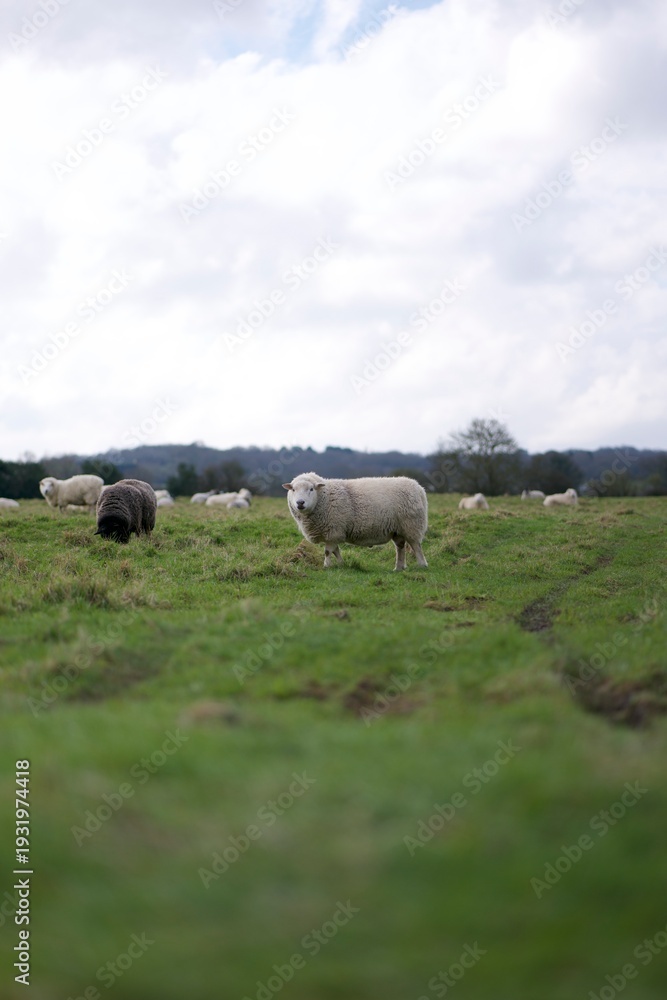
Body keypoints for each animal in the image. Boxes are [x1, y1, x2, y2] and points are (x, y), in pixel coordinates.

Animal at [283, 472, 428, 571]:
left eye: (311, 489)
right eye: (293, 489)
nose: (300, 503)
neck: (324, 498)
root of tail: (419, 488)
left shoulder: (333, 530)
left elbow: (328, 552)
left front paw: (326, 566)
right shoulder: (334, 533)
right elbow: (336, 551)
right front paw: (341, 564)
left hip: (411, 525)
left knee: (416, 546)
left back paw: (422, 565)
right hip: (397, 529)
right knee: (400, 547)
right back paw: (399, 568)